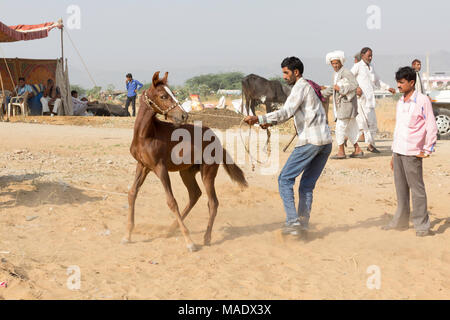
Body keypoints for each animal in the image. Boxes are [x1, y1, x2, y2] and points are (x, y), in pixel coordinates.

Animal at [122, 71, 250, 251]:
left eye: (173, 94)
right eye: (163, 96)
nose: (183, 115)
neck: (145, 135)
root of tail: (217, 140)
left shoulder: (160, 167)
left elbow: (171, 201)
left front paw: (189, 242)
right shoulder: (143, 166)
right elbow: (132, 193)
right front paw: (127, 235)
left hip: (208, 172)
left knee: (213, 202)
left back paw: (206, 237)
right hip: (187, 172)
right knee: (195, 194)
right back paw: (170, 230)